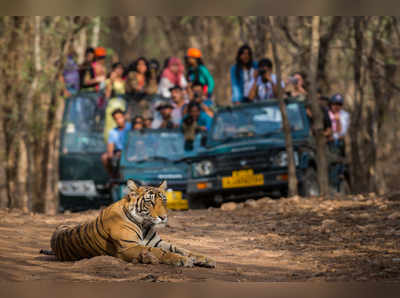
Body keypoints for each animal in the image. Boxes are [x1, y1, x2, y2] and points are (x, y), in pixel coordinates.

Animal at [40, 180, 216, 268]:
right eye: (150, 202)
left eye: (164, 201)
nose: (164, 217)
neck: (144, 224)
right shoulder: (129, 246)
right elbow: (162, 252)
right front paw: (182, 260)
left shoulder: (157, 242)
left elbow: (182, 248)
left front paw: (204, 258)